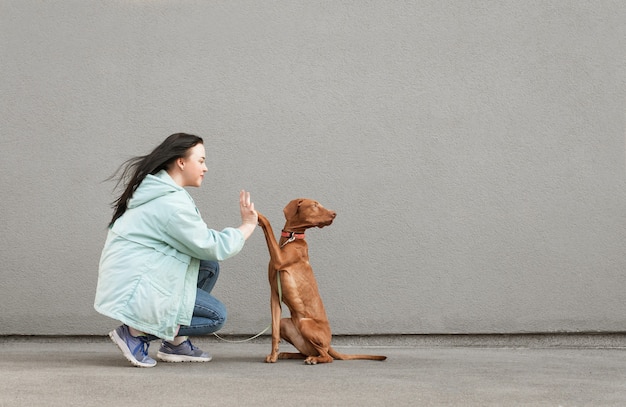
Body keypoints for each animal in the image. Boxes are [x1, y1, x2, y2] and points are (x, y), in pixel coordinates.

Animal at [255, 199, 382, 364]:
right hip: (287, 325)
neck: (291, 238)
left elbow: (268, 225)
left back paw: (314, 359)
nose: (334, 213)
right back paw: (288, 354)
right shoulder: (275, 296)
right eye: (315, 205)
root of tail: (329, 344)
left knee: (327, 357)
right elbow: (274, 331)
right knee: (307, 351)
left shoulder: (279, 259)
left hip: (305, 323)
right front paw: (273, 355)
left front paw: (257, 214)